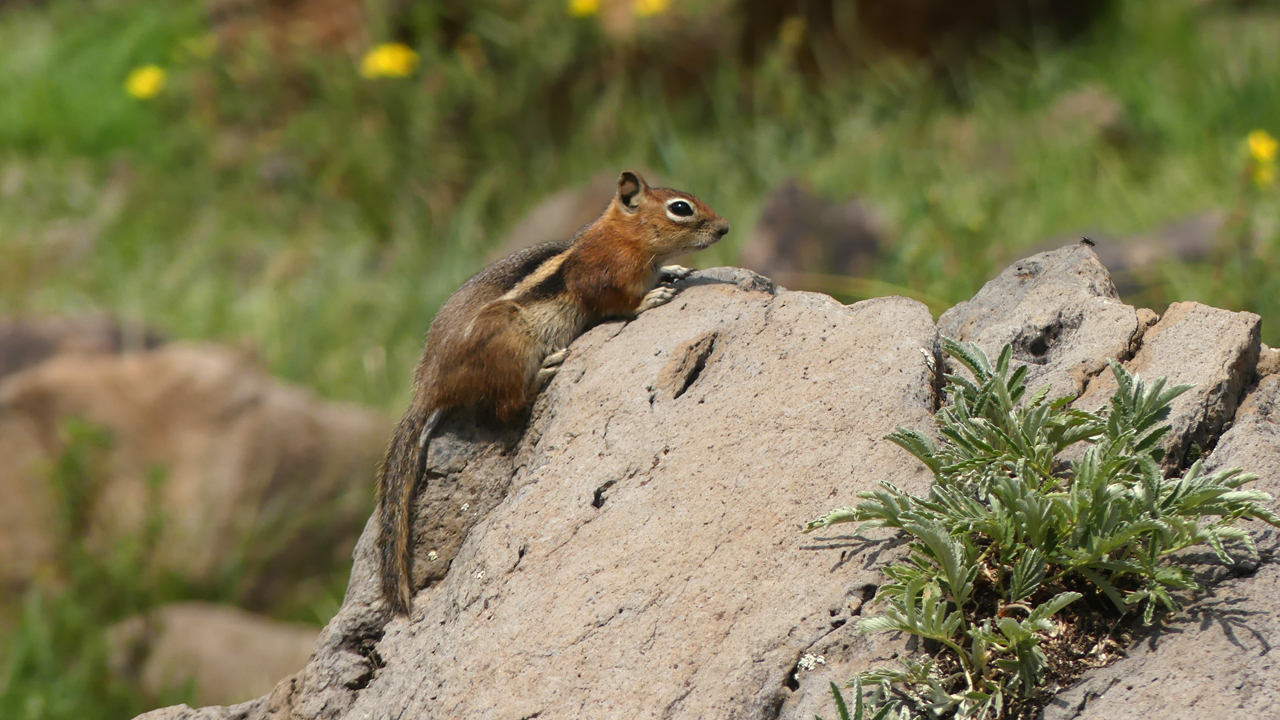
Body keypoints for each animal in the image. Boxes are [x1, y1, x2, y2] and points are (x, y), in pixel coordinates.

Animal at [376, 169, 732, 609]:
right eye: (681, 208)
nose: (725, 227)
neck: (621, 238)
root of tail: (429, 385)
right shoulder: (601, 279)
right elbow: (614, 303)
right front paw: (652, 297)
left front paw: (675, 271)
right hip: (511, 344)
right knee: (507, 407)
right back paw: (545, 372)